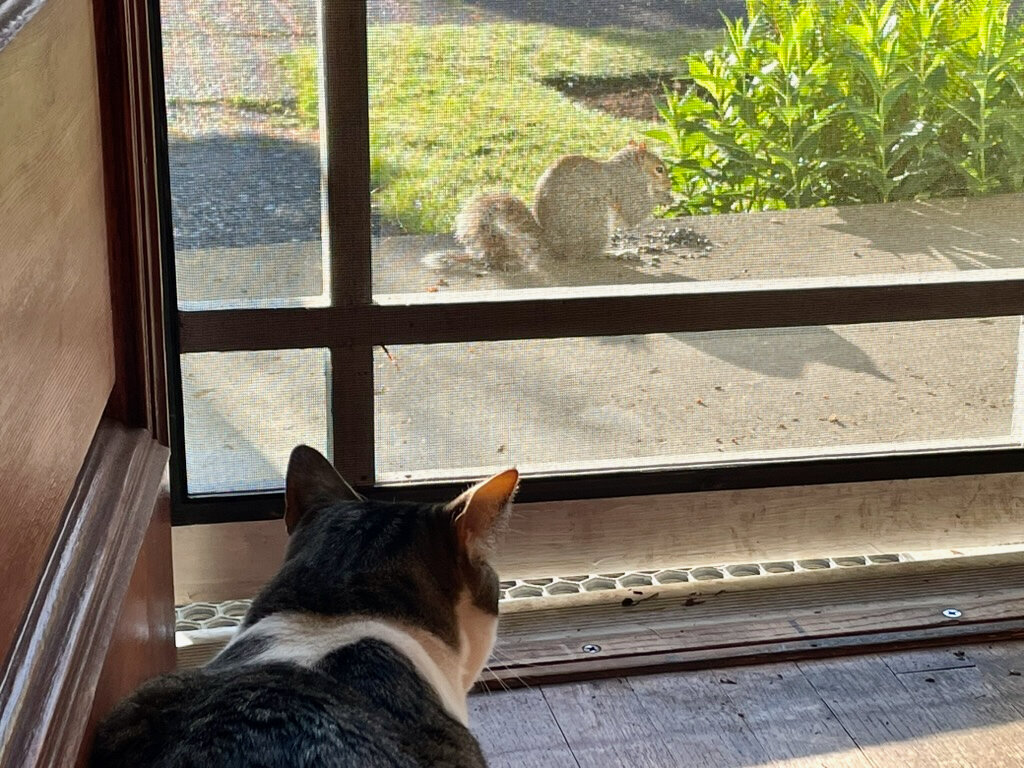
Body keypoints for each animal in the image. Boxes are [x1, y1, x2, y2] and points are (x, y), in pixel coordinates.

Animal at [454, 141, 673, 271]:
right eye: (659, 169)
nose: (670, 185)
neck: (631, 170)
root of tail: (552, 245)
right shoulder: (627, 186)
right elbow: (634, 211)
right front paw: (664, 197)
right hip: (595, 222)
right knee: (589, 255)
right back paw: (616, 253)